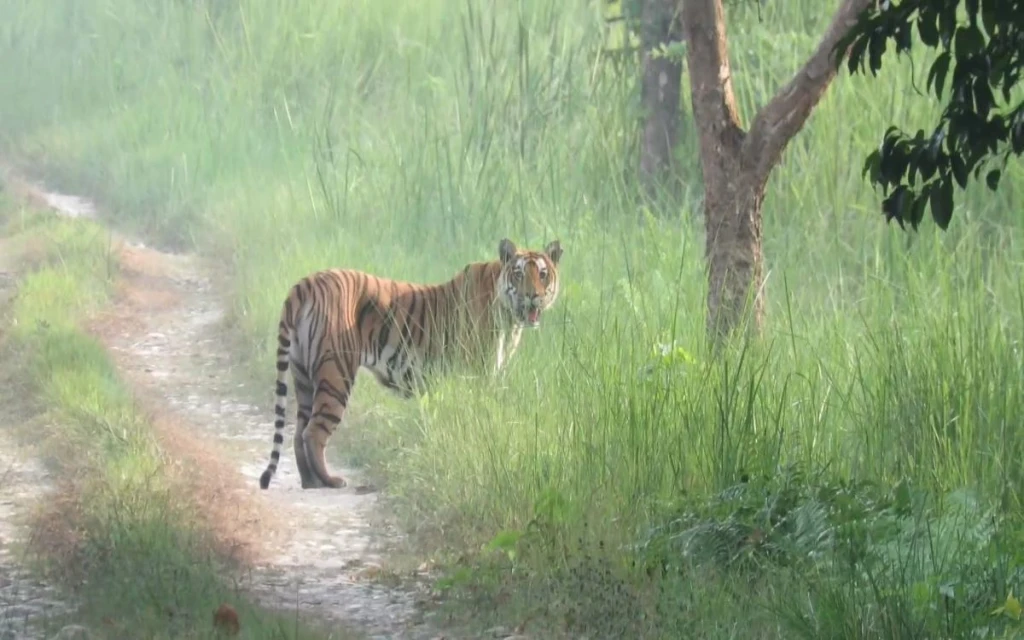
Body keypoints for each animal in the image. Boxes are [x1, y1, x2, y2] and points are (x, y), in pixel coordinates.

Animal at [258, 238, 563, 490]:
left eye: (543, 274)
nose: (533, 295)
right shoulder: (480, 374)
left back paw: (310, 482)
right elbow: (483, 413)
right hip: (336, 372)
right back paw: (330, 481)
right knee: (313, 432)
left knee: (298, 431)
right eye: (519, 274)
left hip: (302, 374)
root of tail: (307, 282)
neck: (509, 317)